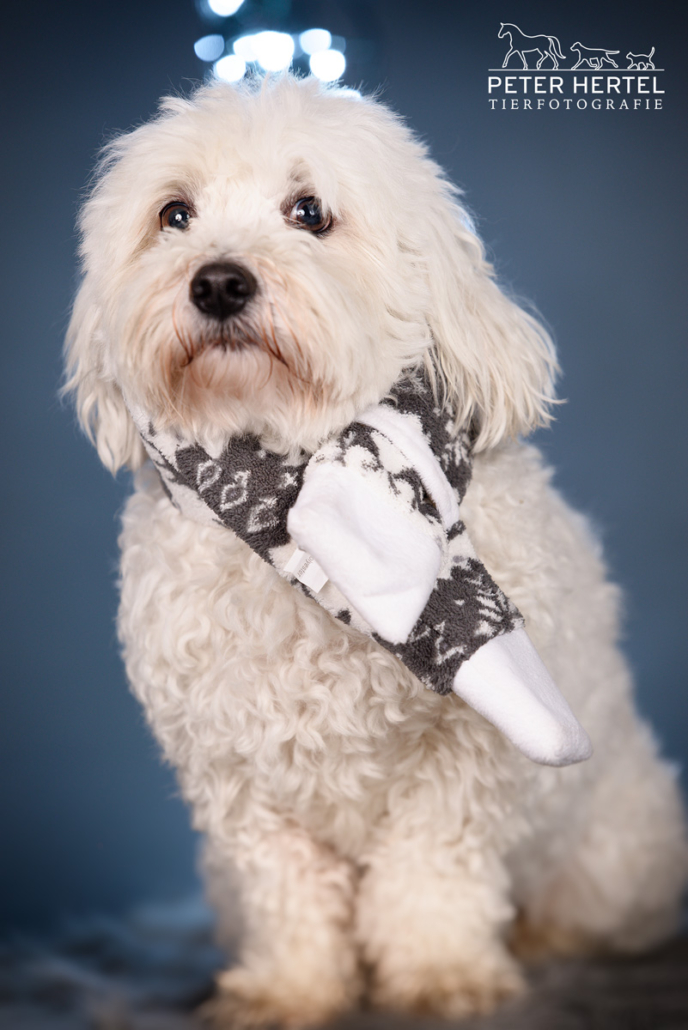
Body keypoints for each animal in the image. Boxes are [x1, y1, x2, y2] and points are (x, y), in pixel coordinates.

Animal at [63, 76, 683, 1025]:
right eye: (174, 214)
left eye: (309, 211)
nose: (218, 282)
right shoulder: (234, 772)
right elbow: (287, 890)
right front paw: (289, 988)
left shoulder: (467, 758)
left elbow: (430, 868)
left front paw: (438, 974)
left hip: (611, 859)